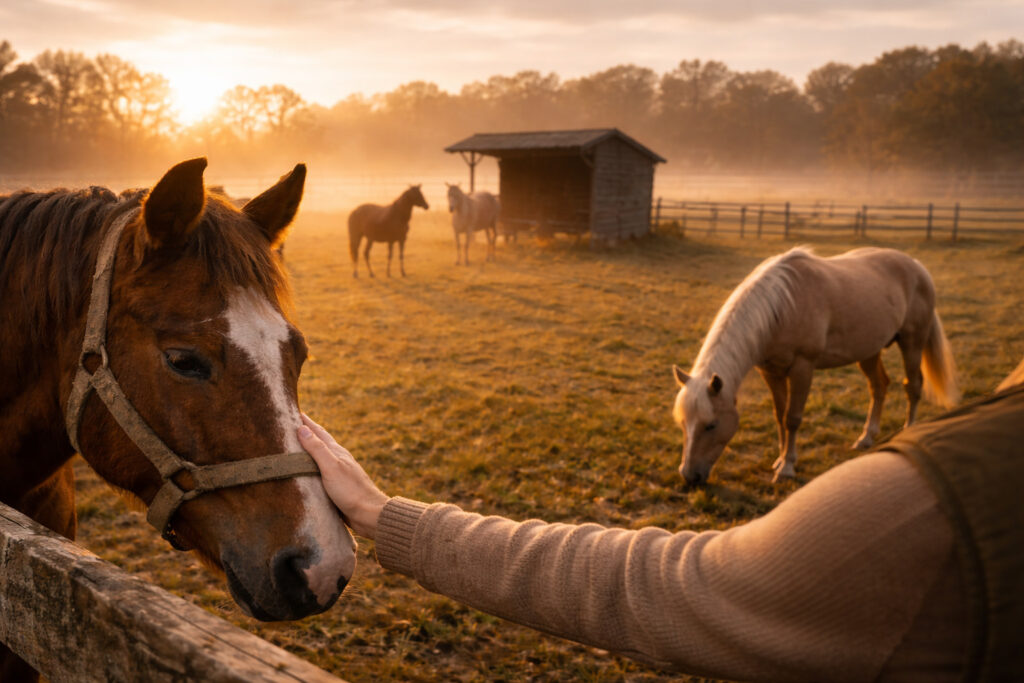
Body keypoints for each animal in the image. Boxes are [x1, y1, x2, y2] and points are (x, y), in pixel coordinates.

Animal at [671, 246, 959, 486]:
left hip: (913, 342)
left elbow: (793, 418)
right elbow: (779, 415)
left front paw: (787, 468)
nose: (689, 476)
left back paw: (909, 431)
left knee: (913, 386)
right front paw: (780, 459)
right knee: (879, 387)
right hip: (869, 351)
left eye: (711, 425)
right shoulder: (771, 372)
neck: (781, 308)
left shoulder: (802, 368)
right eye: (684, 423)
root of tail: (916, 266)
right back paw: (866, 438)